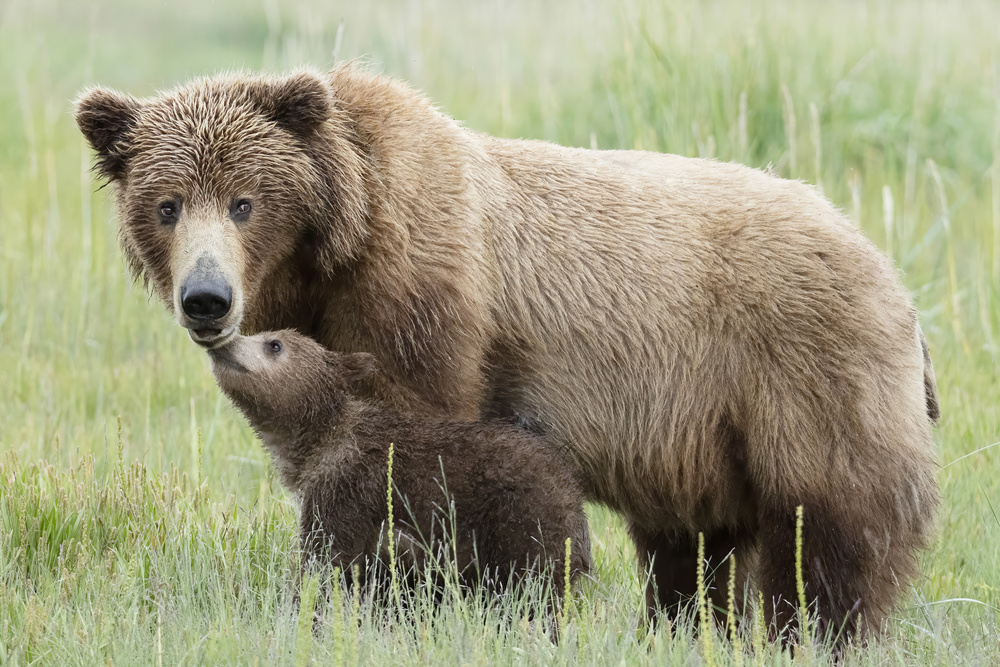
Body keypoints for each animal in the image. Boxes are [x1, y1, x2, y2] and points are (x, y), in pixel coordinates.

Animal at [207, 328, 591, 605]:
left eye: (274, 344)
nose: (224, 342)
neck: (312, 445)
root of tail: (572, 490)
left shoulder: (347, 487)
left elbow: (327, 560)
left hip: (520, 516)